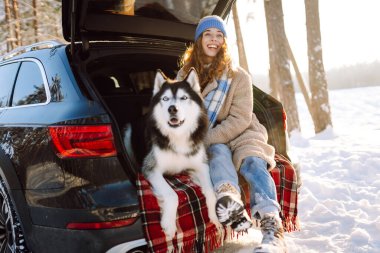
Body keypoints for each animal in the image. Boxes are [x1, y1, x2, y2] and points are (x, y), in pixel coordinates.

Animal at [142, 68, 220, 238]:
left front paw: (215, 217)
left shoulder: (201, 166)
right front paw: (169, 225)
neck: (178, 137)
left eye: (184, 97)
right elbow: (172, 195)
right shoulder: (150, 170)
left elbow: (210, 191)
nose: (172, 108)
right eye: (165, 98)